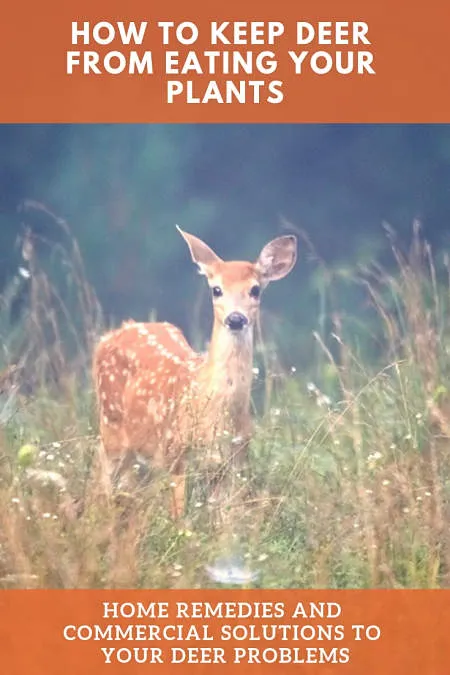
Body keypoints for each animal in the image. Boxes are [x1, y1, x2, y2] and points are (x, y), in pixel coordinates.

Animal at [93, 227, 297, 518]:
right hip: (111, 426)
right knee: (102, 478)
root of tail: (110, 335)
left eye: (255, 289)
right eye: (217, 289)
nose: (236, 319)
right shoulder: (175, 454)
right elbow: (179, 517)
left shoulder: (231, 463)